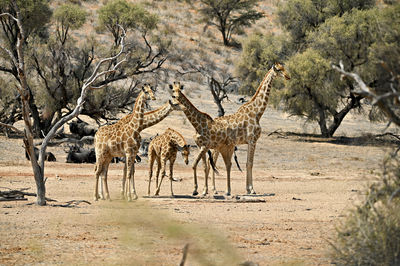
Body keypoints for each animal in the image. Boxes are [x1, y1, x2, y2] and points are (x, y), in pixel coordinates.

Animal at [170, 62, 290, 195]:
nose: (288, 76)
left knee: (213, 164)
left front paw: (248, 189)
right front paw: (251, 189)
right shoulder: (252, 140)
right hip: (216, 147)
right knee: (212, 164)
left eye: (283, 68)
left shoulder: (248, 141)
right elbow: (249, 163)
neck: (257, 112)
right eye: (279, 70)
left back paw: (211, 190)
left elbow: (247, 163)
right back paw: (212, 190)